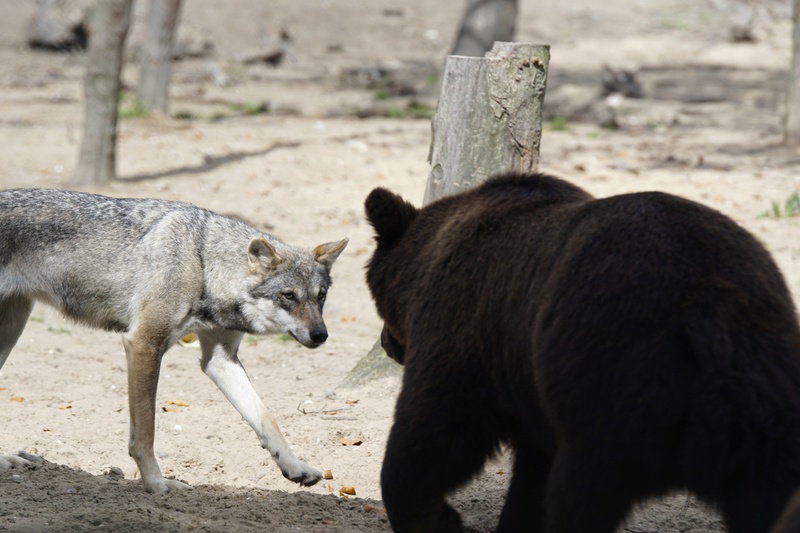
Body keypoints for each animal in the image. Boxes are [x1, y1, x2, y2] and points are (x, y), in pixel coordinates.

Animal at [0, 188, 348, 494]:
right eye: (289, 296)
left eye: (321, 297)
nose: (321, 335)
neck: (204, 265)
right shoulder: (143, 344)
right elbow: (146, 434)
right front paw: (157, 484)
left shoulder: (220, 360)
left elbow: (266, 418)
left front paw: (295, 466)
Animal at [364, 172, 800, 533]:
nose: (387, 342)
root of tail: (711, 301)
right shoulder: (528, 386)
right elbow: (530, 475)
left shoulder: (468, 329)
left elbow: (435, 429)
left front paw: (438, 517)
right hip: (760, 408)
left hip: (609, 383)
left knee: (580, 496)